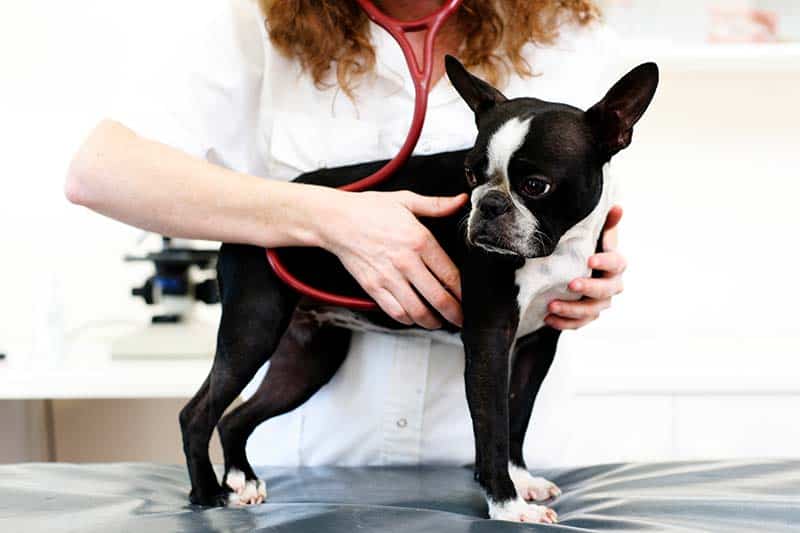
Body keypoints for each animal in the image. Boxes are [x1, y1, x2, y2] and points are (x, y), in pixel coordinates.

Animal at [180, 56, 656, 520]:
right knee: (198, 414)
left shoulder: (536, 345)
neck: (555, 248)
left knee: (236, 418)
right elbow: (493, 428)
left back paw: (242, 481)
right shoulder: (488, 340)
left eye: (536, 186)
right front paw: (506, 505)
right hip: (254, 328)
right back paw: (208, 495)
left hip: (309, 357)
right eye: (470, 175)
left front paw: (522, 481)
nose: (488, 204)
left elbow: (517, 415)